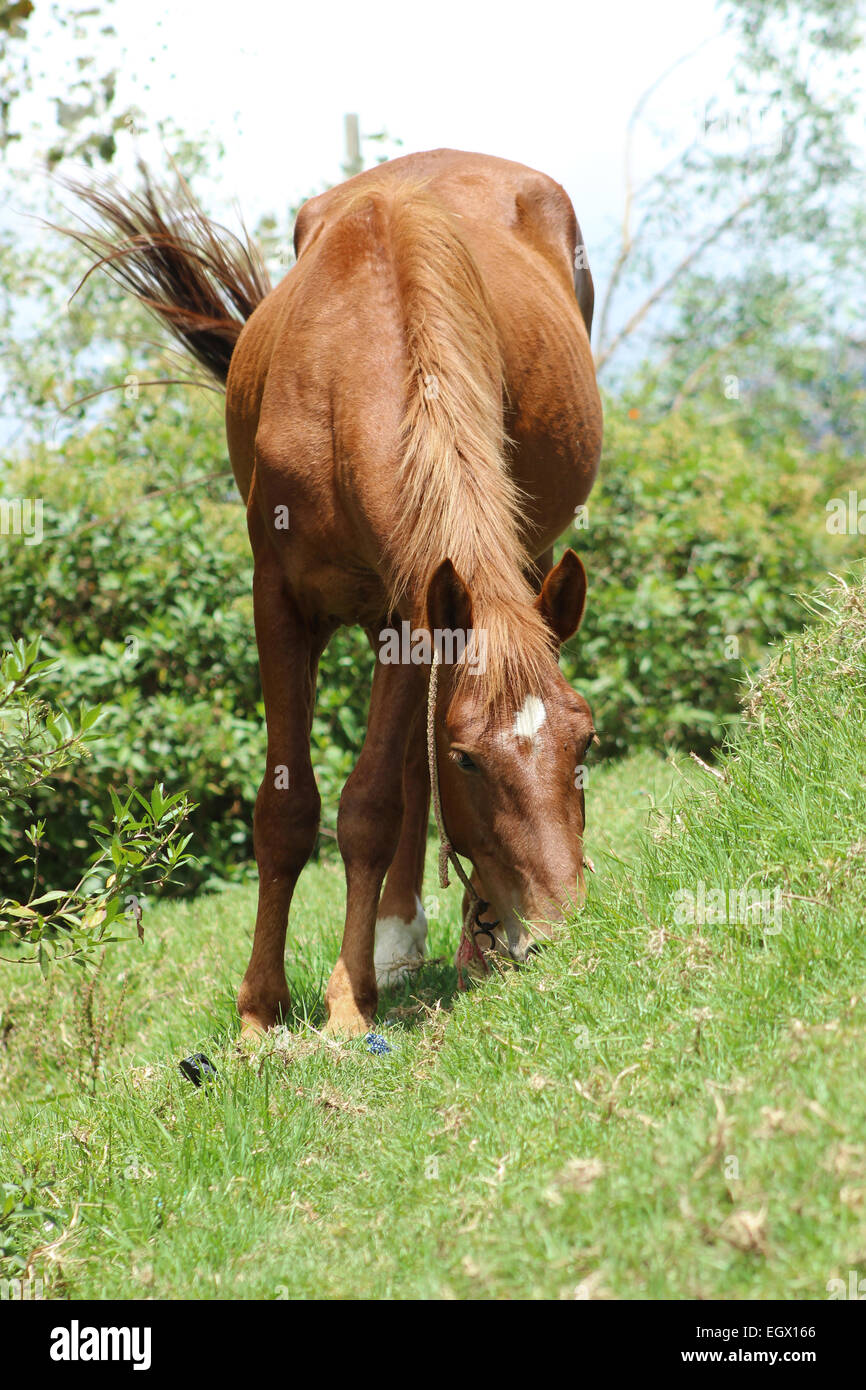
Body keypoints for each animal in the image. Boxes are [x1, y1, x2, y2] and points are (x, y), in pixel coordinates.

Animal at [72, 152, 603, 1039]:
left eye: (585, 742)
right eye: (471, 759)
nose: (566, 931)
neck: (348, 367)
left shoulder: (410, 611)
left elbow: (370, 806)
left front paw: (349, 1002)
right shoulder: (280, 604)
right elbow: (287, 812)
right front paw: (262, 1009)